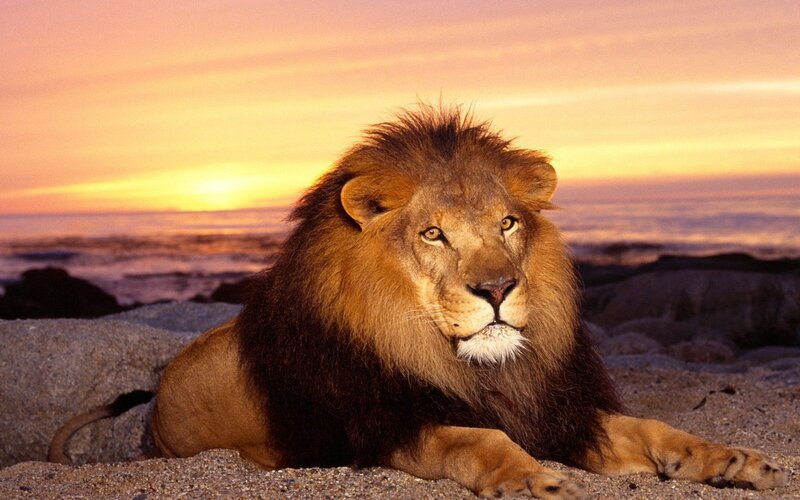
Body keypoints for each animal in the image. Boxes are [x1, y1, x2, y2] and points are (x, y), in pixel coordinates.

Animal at [52, 106, 787, 497]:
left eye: (508, 224)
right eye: (434, 234)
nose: (497, 289)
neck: (478, 369)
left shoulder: (558, 409)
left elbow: (656, 429)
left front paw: (732, 459)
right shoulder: (388, 425)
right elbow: (478, 438)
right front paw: (536, 480)